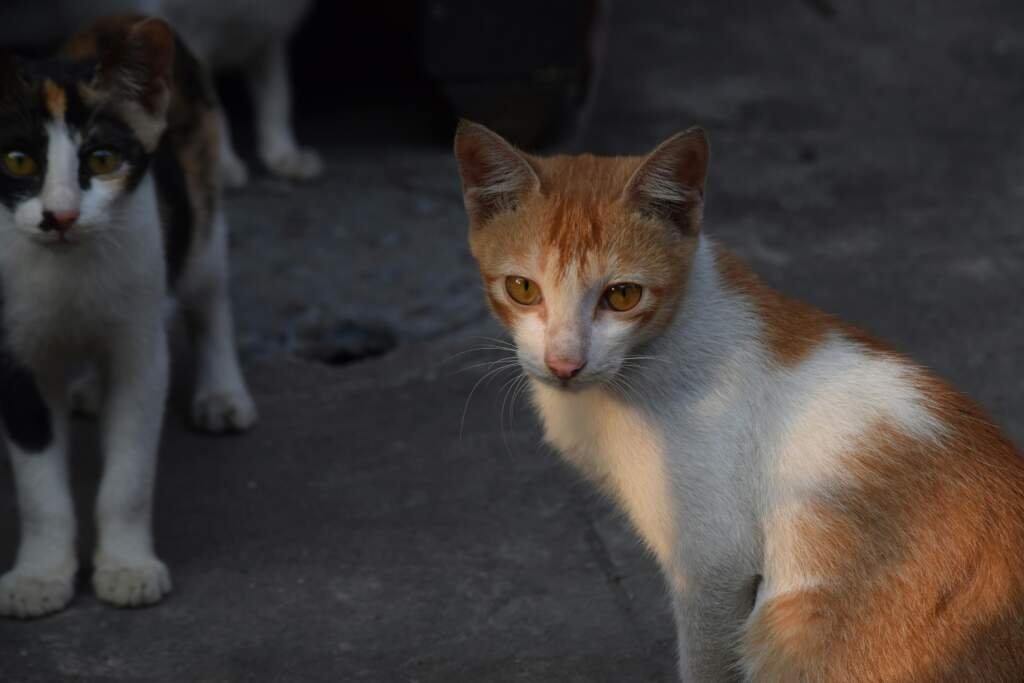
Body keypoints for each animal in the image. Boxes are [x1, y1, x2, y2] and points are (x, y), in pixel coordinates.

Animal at [0, 14, 256, 618]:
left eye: (102, 159)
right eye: (17, 160)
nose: (61, 216)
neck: (67, 271)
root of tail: (114, 18)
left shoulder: (141, 348)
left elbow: (130, 472)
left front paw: (126, 567)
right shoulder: (12, 353)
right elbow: (38, 484)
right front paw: (40, 575)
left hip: (197, 199)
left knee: (209, 292)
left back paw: (221, 393)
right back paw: (91, 389)